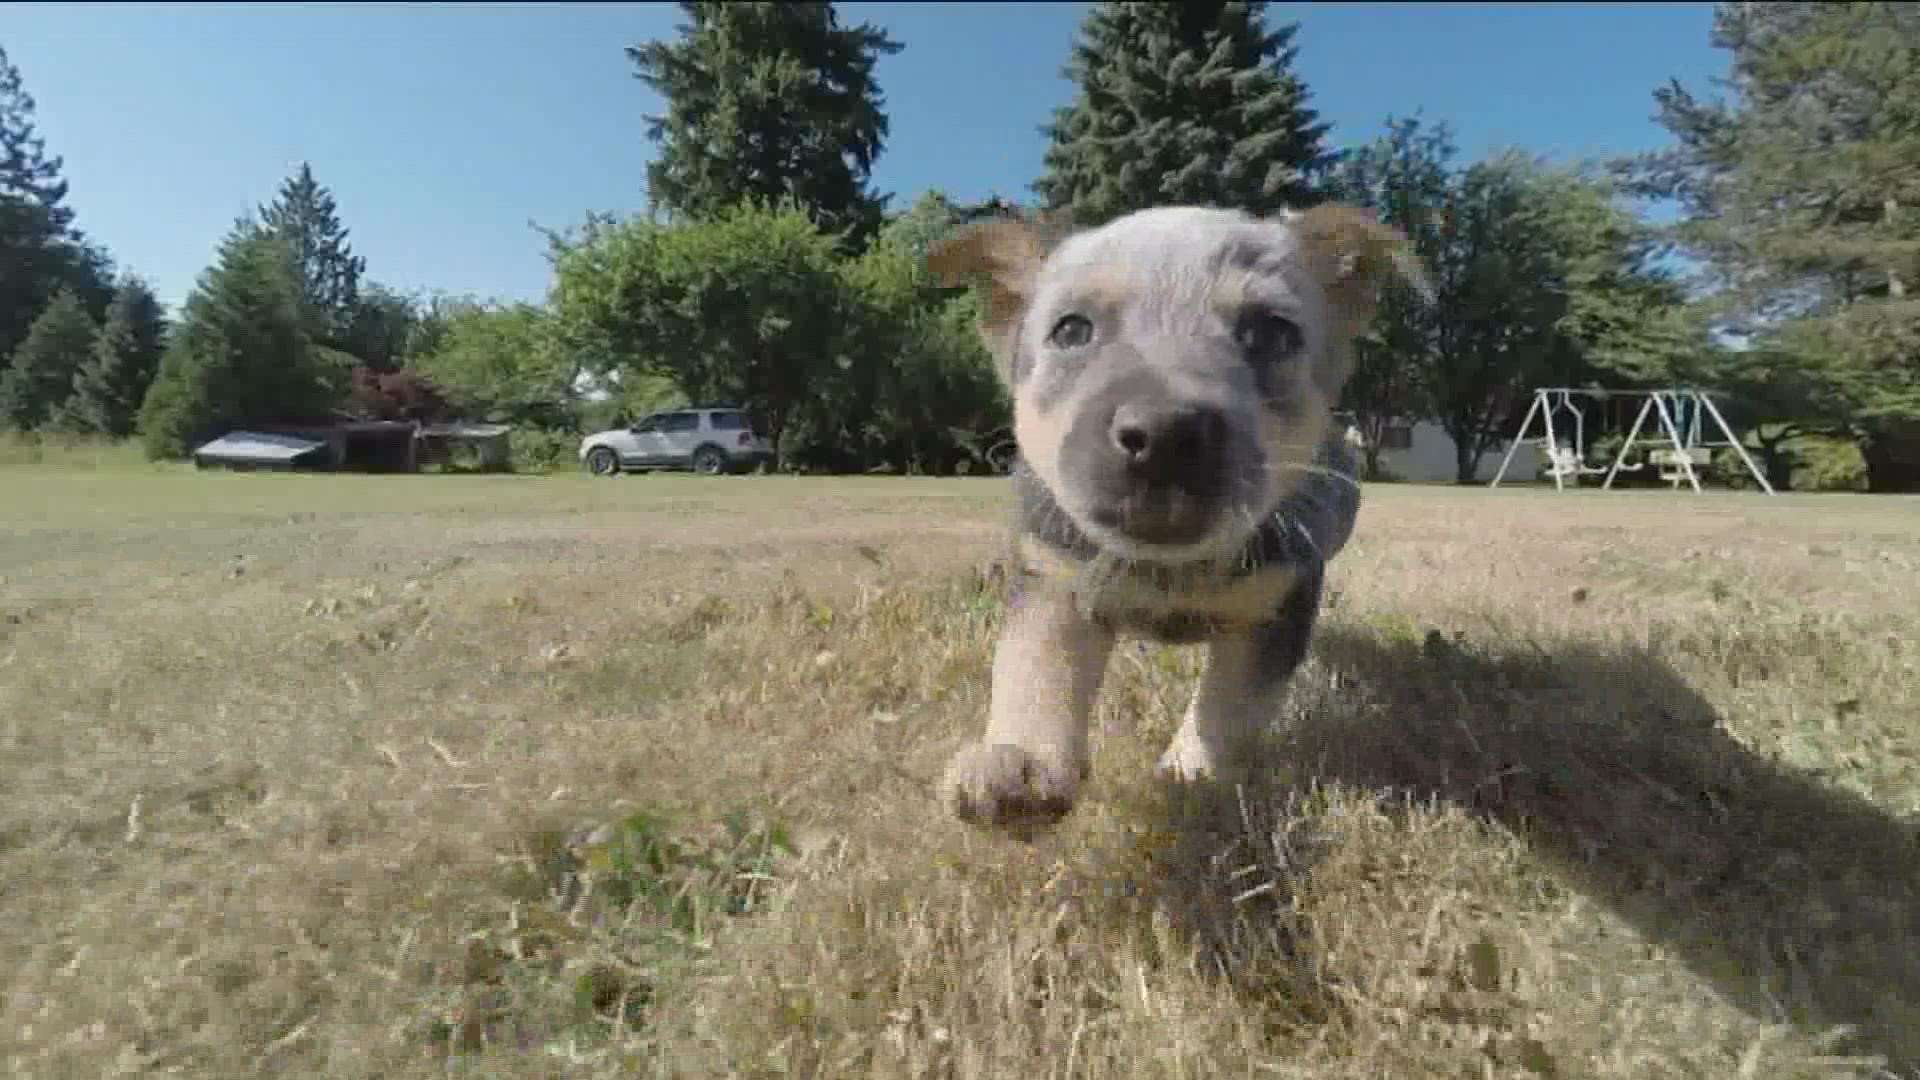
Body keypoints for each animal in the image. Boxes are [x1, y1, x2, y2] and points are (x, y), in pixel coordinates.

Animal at [929, 199, 1428, 822]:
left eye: (1271, 332)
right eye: (1072, 329)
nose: (1164, 434)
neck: (1171, 569)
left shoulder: (1277, 605)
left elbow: (1229, 704)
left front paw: (1193, 772)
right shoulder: (1054, 580)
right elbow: (1035, 668)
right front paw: (1019, 766)